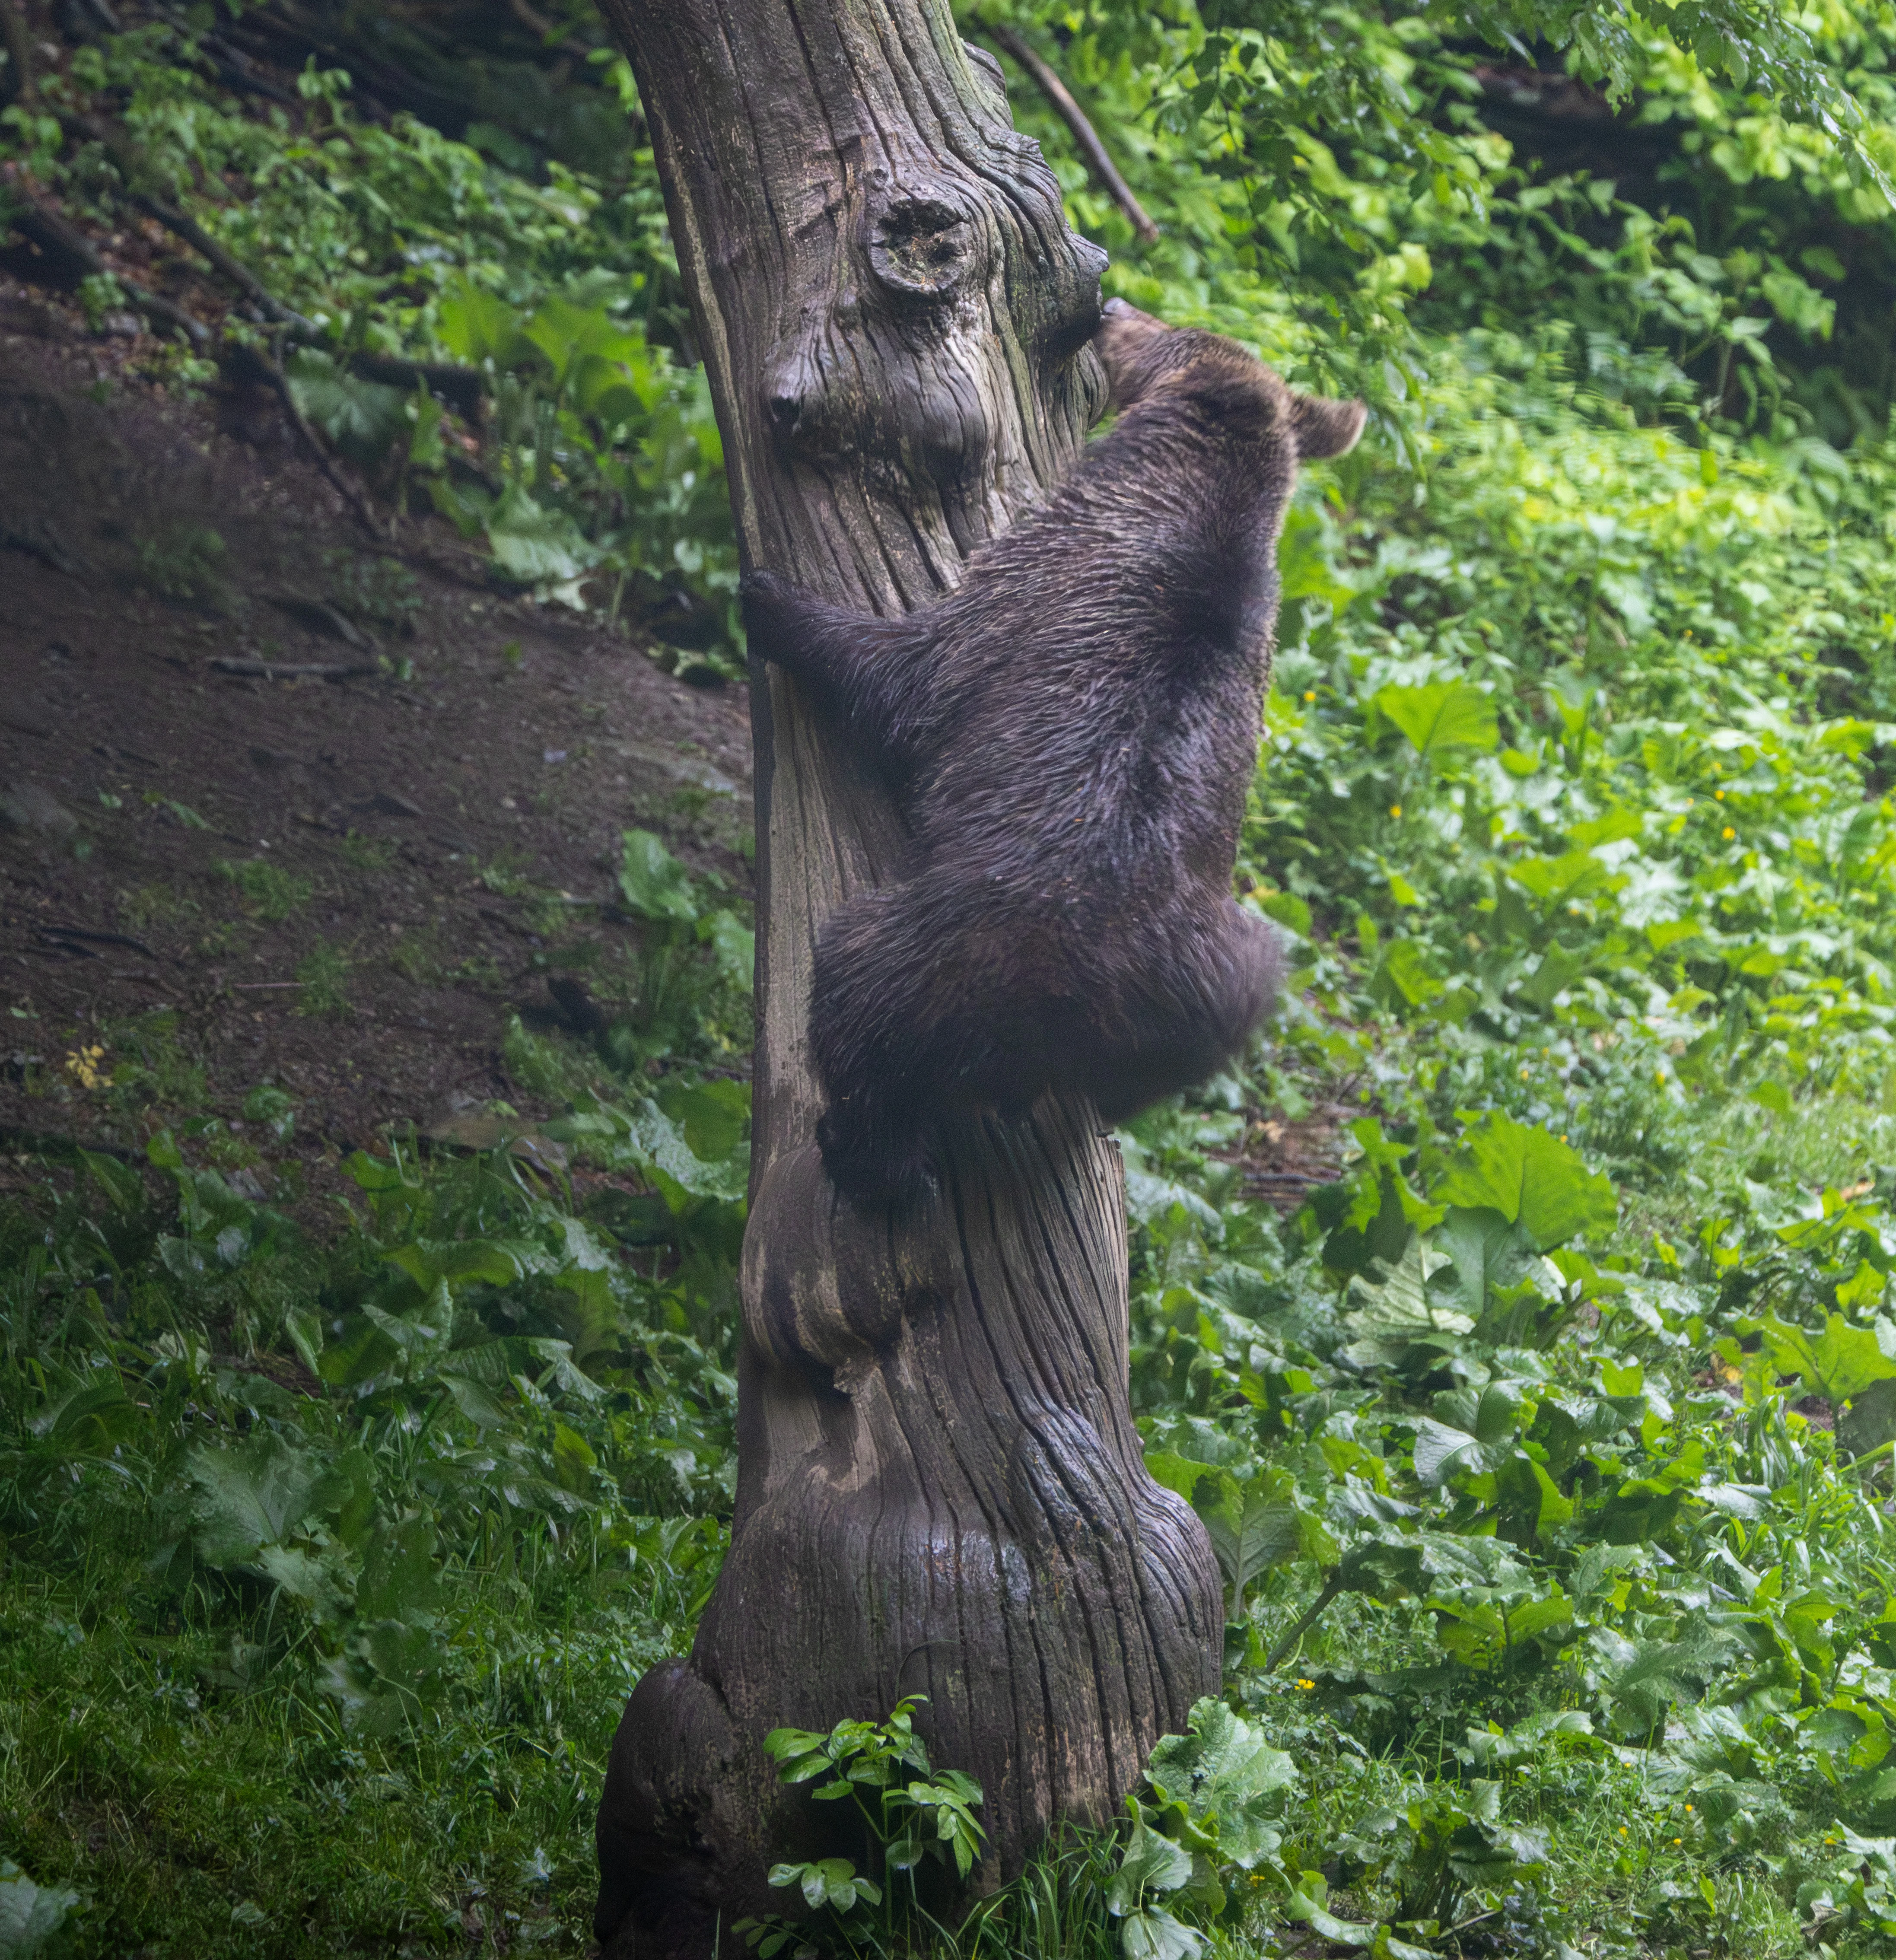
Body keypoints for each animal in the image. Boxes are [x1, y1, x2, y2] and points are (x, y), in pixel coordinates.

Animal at [741, 298, 1366, 1205]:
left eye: (1158, 326)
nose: (1111, 304)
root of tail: (1064, 1022)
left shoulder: (1022, 599)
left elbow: (908, 676)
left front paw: (771, 600)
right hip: (1210, 980)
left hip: (946, 947)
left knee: (855, 989)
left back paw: (873, 1156)